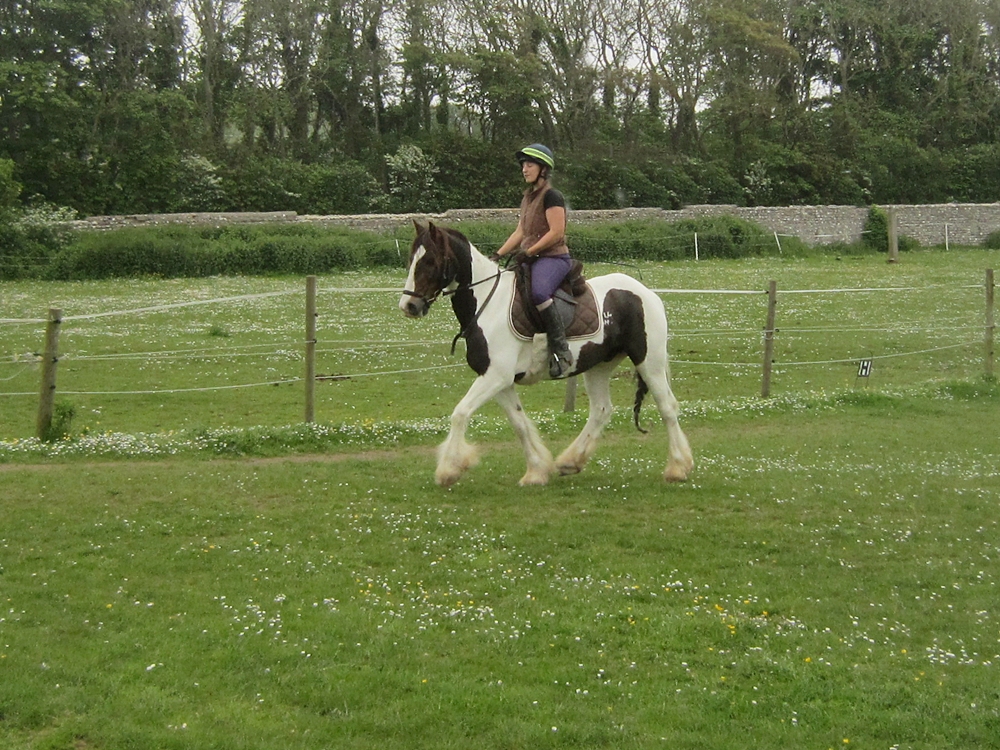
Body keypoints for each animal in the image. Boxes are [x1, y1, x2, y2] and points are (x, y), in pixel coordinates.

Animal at [399, 221, 693, 488]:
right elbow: (518, 422)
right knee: (601, 410)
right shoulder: (499, 381)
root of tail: (646, 293)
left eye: (430, 261)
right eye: (411, 259)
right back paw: (570, 461)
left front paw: (449, 469)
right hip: (598, 366)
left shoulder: (495, 377)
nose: (409, 305)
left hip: (649, 362)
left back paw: (678, 467)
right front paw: (536, 471)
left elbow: (460, 413)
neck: (487, 304)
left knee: (667, 406)